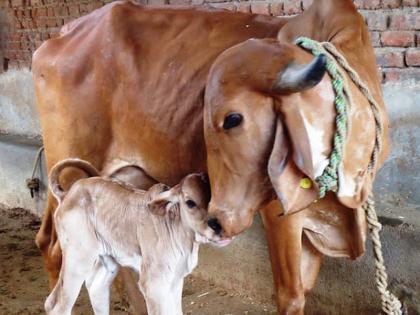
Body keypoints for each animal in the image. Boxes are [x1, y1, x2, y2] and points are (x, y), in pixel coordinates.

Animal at [33, 1, 390, 314]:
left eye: (233, 118)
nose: (217, 219)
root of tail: (59, 36)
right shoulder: (281, 215)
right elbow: (291, 296)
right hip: (68, 164)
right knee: (50, 245)